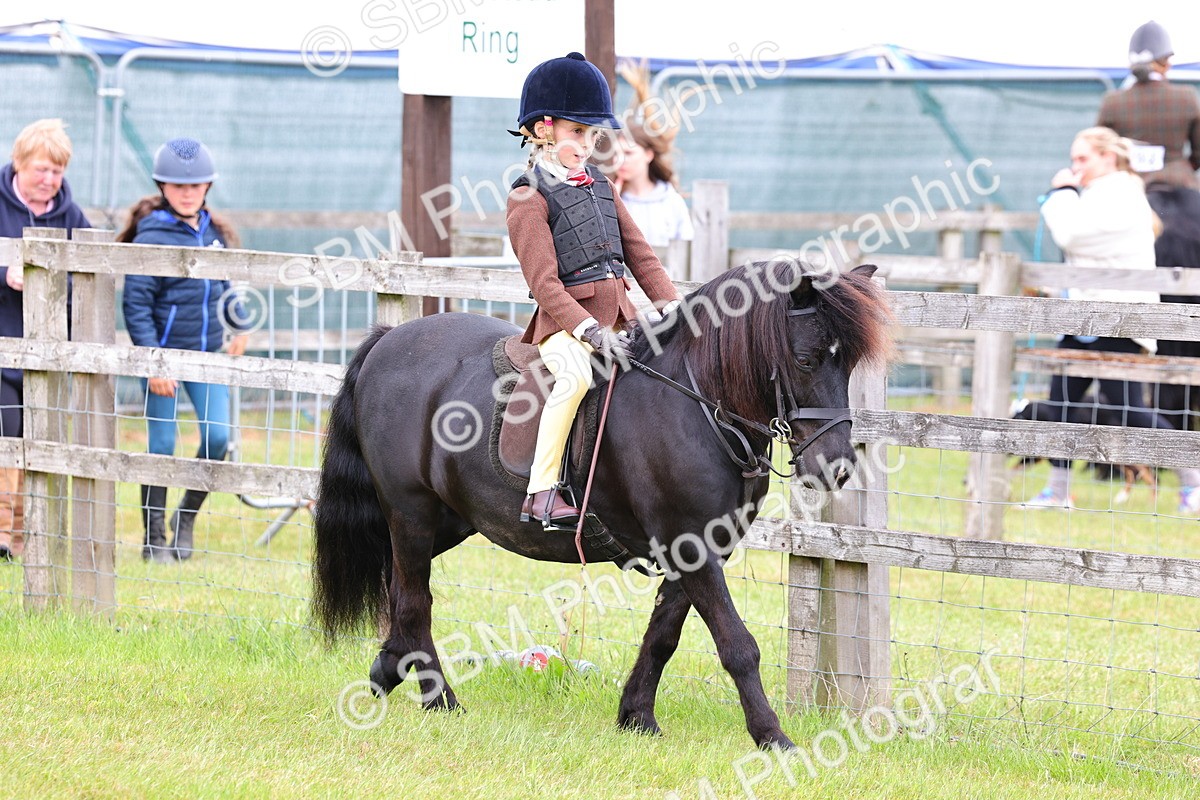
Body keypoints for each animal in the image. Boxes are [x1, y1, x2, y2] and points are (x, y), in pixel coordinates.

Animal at [312, 261, 892, 749]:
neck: (695, 404)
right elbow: (737, 645)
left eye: (850, 365)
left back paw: (388, 670)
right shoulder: (692, 547)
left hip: (445, 521)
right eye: (805, 359)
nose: (838, 467)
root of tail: (390, 342)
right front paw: (773, 737)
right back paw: (441, 700)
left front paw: (636, 716)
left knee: (399, 589)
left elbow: (663, 636)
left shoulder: (698, 549)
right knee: (414, 601)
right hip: (411, 513)